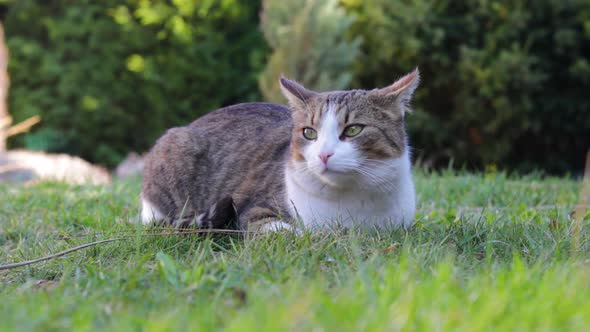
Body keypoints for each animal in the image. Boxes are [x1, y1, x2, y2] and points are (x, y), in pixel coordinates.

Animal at [141, 68, 420, 232]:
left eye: (353, 130)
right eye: (309, 133)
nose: (324, 154)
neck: (350, 201)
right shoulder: (254, 211)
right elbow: (286, 233)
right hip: (175, 142)